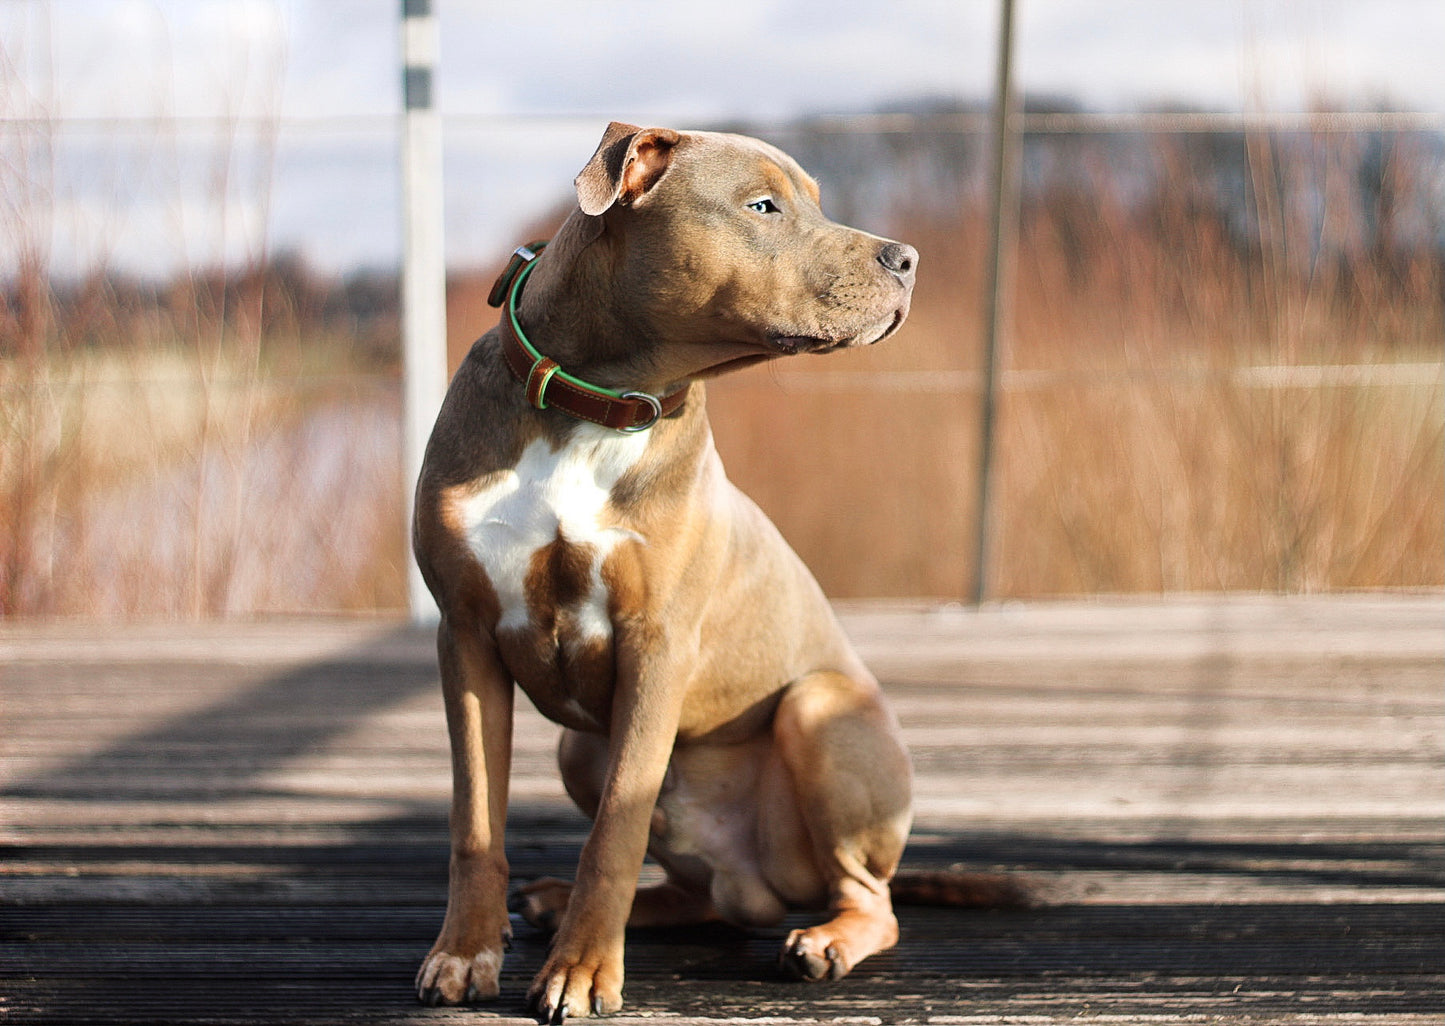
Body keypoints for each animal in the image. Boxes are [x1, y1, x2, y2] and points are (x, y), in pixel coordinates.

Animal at [413, 120, 919, 1023]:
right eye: (762, 207)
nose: (906, 258)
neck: (594, 406)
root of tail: (758, 879)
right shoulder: (465, 638)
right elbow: (476, 821)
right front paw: (464, 953)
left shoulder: (656, 646)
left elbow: (615, 829)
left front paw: (581, 974)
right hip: (581, 751)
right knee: (705, 897)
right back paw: (559, 902)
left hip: (819, 710)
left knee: (868, 897)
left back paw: (823, 941)